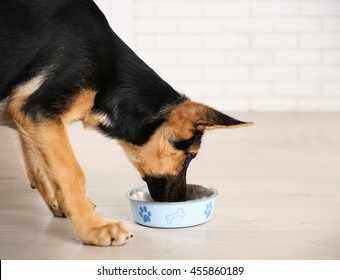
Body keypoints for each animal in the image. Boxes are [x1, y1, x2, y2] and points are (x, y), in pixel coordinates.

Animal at [0, 0, 252, 245]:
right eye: (190, 156)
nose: (179, 202)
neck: (110, 80)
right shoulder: (38, 110)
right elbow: (71, 172)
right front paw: (93, 228)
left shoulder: (28, 116)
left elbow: (42, 169)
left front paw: (64, 206)